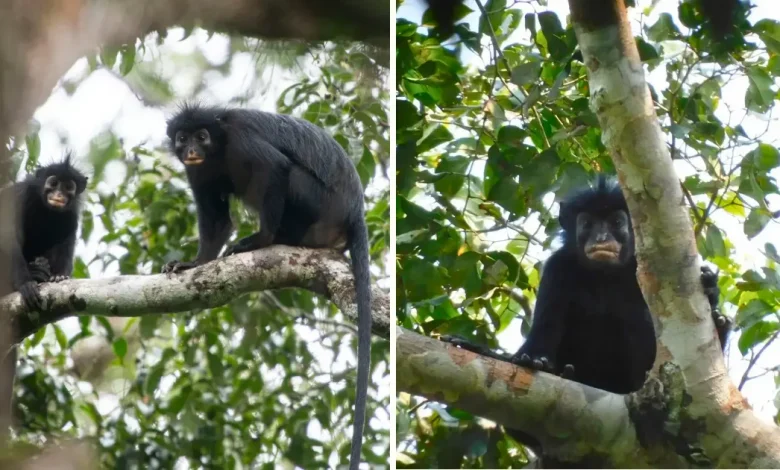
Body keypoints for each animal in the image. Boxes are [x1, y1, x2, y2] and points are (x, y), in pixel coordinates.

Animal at [0, 155, 88, 312]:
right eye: (53, 183)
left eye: (68, 187)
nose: (58, 194)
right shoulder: (21, 196)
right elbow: (8, 237)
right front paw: (25, 283)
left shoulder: (71, 215)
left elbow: (65, 243)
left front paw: (59, 276)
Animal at [161, 103, 372, 470]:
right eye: (182, 138)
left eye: (201, 136)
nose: (191, 151)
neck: (219, 148)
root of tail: (354, 211)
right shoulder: (198, 173)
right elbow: (217, 220)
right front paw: (194, 263)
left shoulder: (242, 139)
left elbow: (275, 167)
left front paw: (262, 239)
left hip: (320, 205)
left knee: (289, 176)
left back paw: (276, 238)